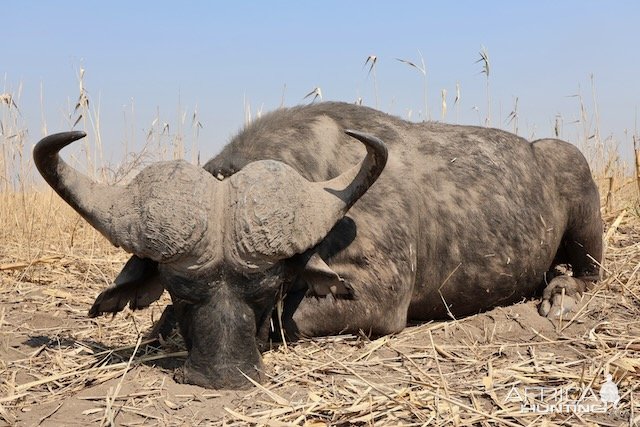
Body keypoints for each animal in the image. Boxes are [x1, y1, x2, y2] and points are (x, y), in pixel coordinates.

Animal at [33, 102, 604, 390]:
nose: (220, 376)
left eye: (269, 285)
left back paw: (559, 295)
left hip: (583, 202)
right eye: (178, 288)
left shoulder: (378, 301)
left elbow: (287, 324)